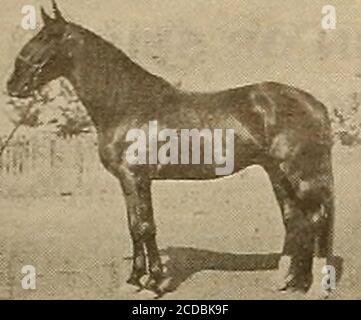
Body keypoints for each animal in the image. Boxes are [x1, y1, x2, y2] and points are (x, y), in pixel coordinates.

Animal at [7, 1, 334, 298]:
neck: (127, 104)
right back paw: (288, 282)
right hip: (277, 172)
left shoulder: (136, 177)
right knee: (294, 220)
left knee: (315, 219)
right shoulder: (130, 181)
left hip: (300, 173)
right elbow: (135, 227)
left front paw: (154, 282)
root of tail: (314, 103)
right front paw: (136, 280)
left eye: (46, 38)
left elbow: (145, 227)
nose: (13, 85)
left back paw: (312, 286)